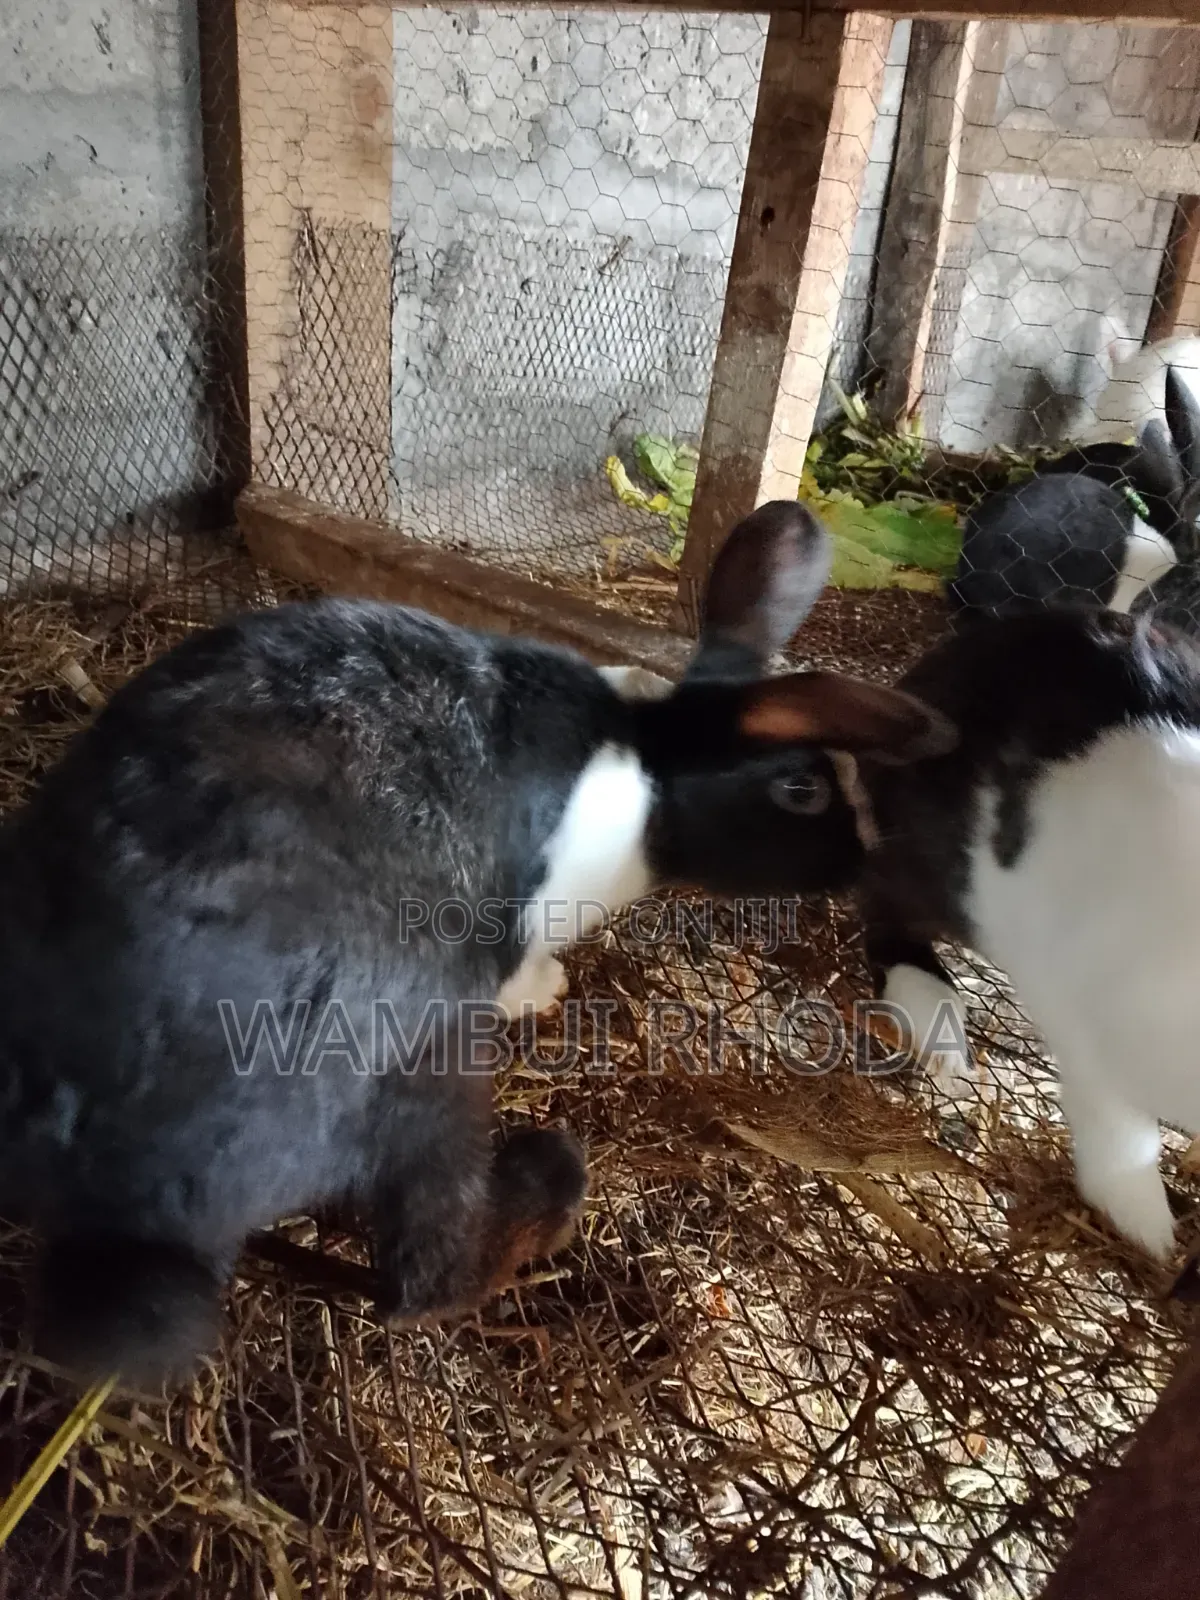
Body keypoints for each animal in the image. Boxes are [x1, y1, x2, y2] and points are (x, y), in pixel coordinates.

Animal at [0, 500, 952, 1387]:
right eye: (801, 789)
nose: (866, 860)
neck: (651, 766)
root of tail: (120, 1209)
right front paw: (548, 990)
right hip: (427, 1075)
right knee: (421, 1279)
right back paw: (545, 1188)